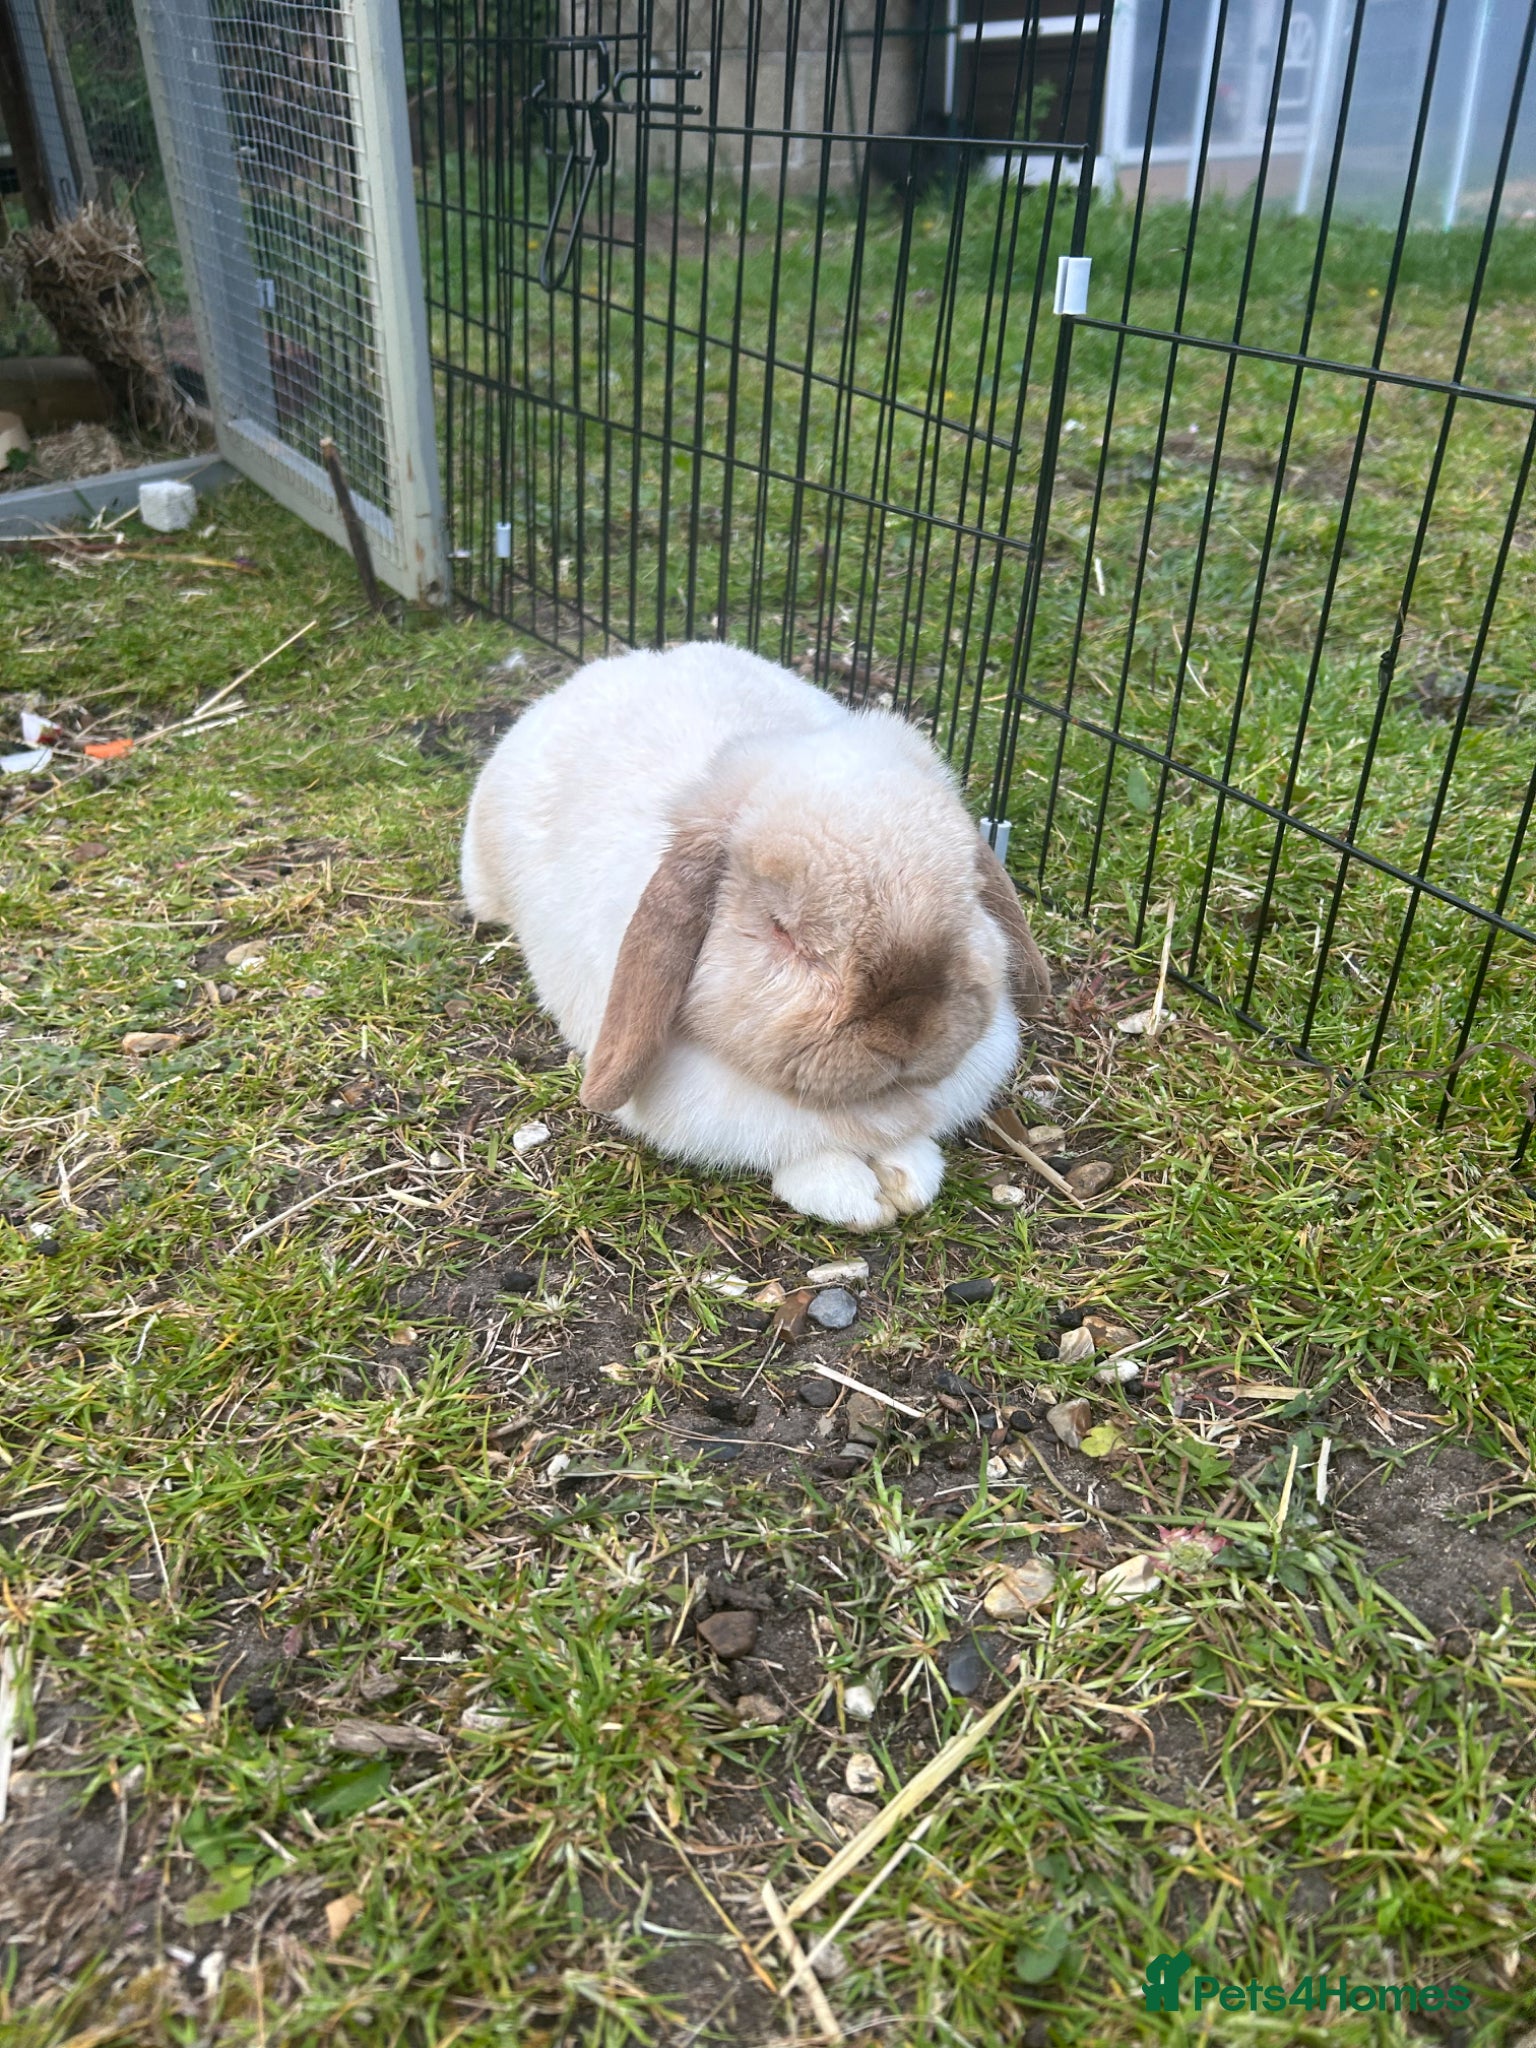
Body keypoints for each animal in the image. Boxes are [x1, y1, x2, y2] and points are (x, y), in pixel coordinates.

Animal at [461, 642, 1051, 1229]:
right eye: (782, 930)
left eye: (969, 897)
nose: (907, 1033)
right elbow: (805, 1152)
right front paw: (854, 1195)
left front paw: (906, 1176)